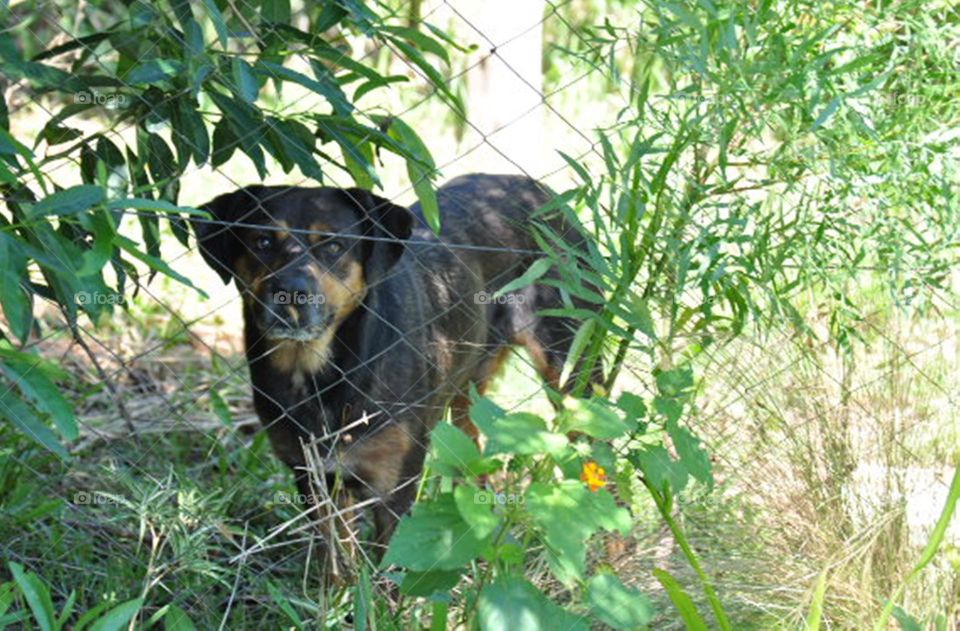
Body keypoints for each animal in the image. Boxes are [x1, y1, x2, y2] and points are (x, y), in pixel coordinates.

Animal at [193, 174, 600, 556]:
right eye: (261, 242)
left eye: (334, 246)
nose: (289, 292)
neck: (321, 374)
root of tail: (537, 189)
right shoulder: (315, 479)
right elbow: (336, 564)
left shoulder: (396, 483)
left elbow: (388, 573)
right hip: (466, 383)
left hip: (571, 368)